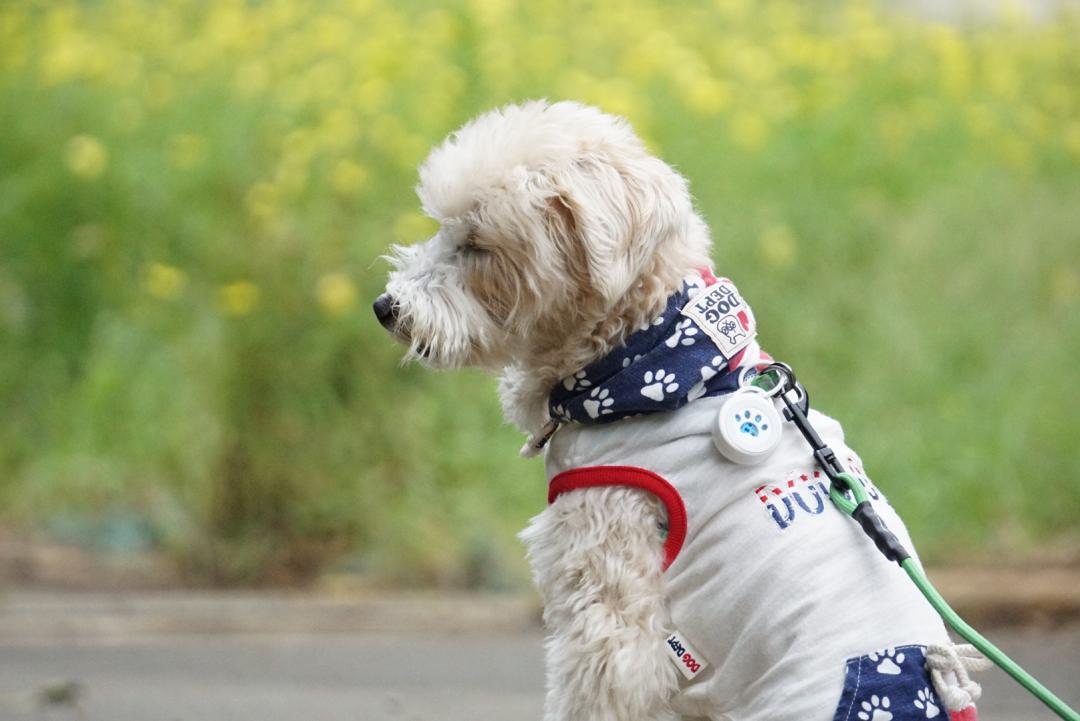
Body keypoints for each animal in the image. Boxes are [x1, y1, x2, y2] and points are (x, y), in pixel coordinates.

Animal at [373, 99, 989, 721]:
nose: (385, 307)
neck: (648, 358)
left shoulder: (610, 603)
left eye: (477, 243)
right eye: (443, 227)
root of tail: (933, 675)